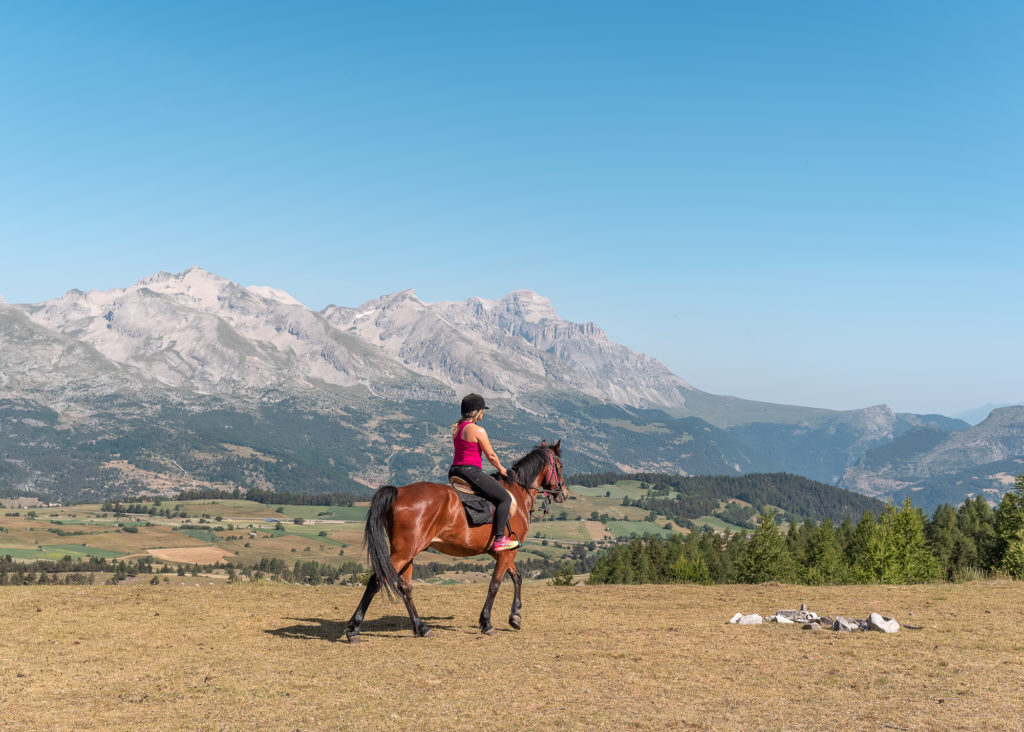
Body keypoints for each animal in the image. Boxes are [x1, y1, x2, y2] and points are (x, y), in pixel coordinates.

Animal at [344, 440, 569, 642]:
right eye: (559, 466)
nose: (564, 494)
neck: (517, 494)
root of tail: (398, 491)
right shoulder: (507, 551)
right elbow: (495, 585)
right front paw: (486, 623)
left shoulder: (502, 552)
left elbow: (517, 577)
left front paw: (515, 617)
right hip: (403, 552)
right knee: (377, 580)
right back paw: (353, 629)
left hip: (407, 552)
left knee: (405, 587)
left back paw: (421, 627)